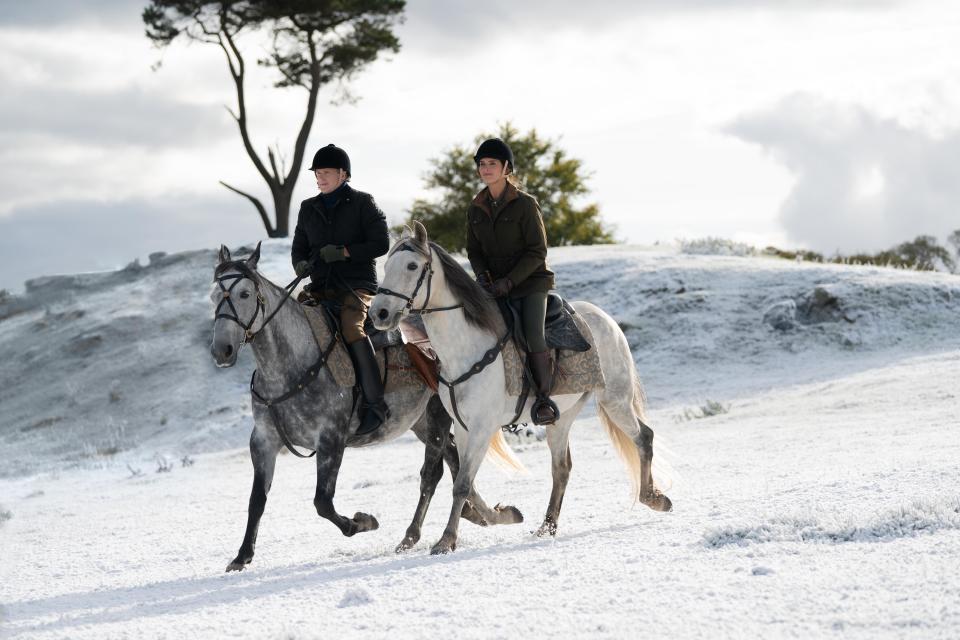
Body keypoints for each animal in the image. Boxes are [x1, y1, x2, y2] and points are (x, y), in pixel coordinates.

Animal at [211, 241, 524, 568]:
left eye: (245, 294)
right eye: (213, 296)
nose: (222, 350)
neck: (291, 366)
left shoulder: (331, 440)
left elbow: (323, 502)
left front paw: (363, 521)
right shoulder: (263, 441)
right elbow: (256, 501)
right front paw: (242, 556)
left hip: (439, 414)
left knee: (438, 469)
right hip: (421, 421)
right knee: (453, 460)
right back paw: (482, 515)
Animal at [372, 224, 672, 556]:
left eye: (412, 266)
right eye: (387, 266)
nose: (379, 313)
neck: (465, 348)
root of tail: (605, 319)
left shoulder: (481, 429)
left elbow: (462, 484)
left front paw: (446, 540)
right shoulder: (463, 429)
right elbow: (466, 482)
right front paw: (501, 515)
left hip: (615, 399)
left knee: (644, 437)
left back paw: (654, 498)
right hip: (562, 416)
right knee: (561, 467)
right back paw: (547, 526)